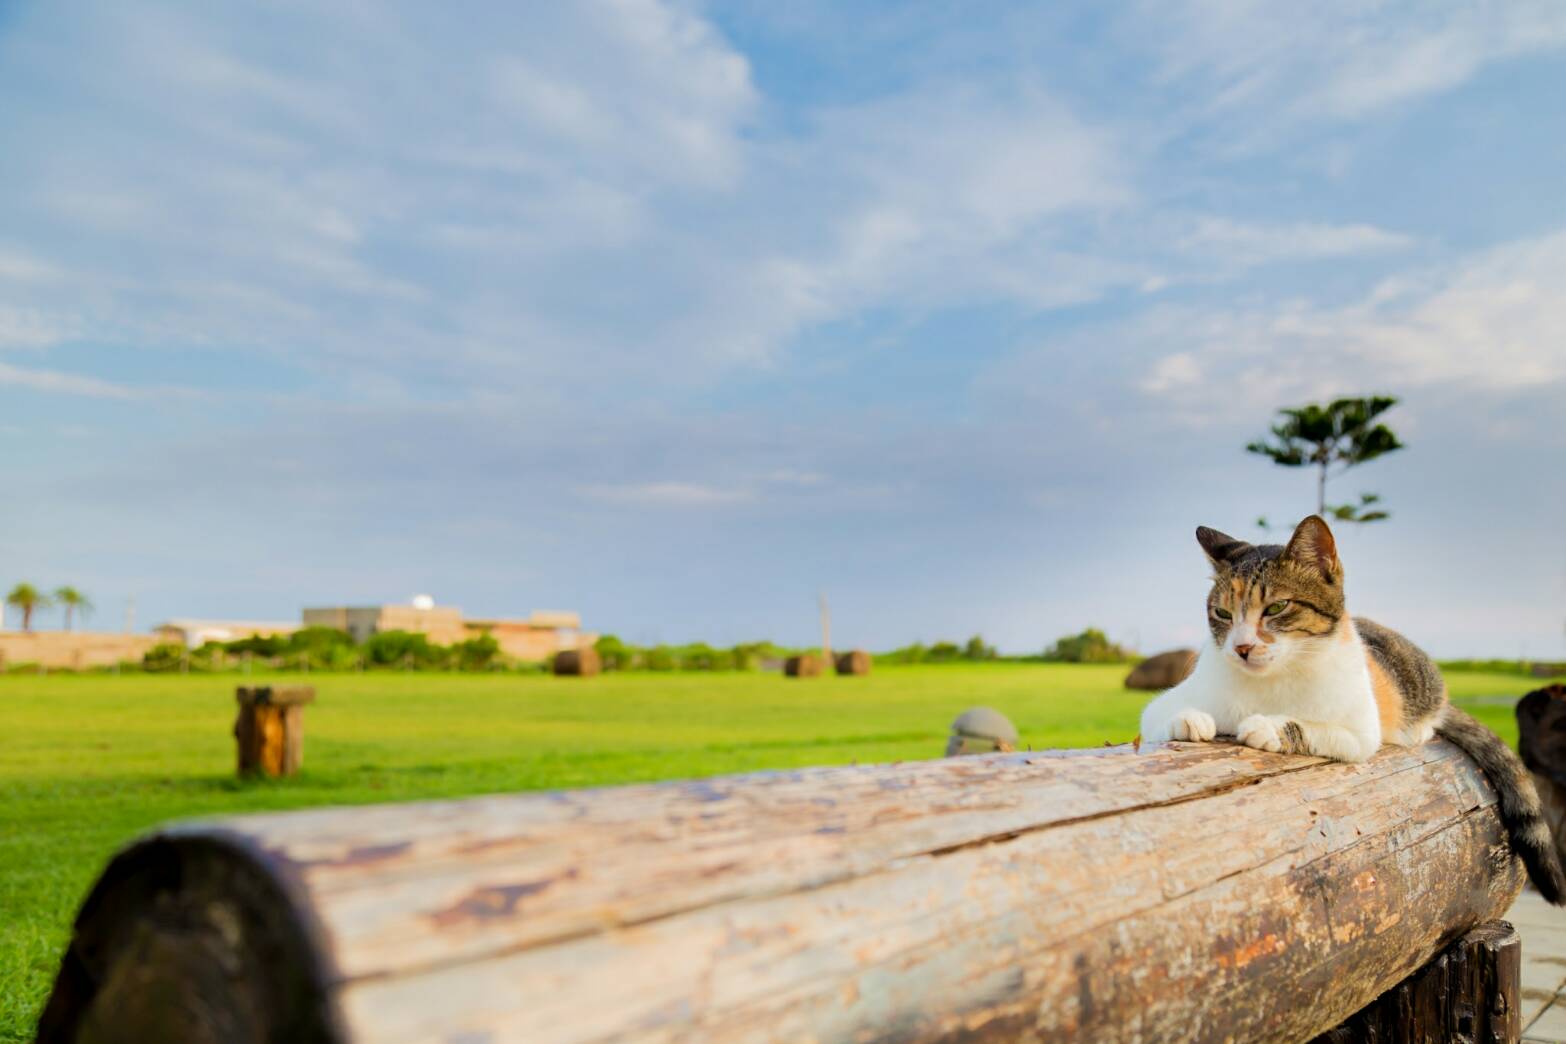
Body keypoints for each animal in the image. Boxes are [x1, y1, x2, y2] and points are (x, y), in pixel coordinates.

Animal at [1140, 513, 1566, 907]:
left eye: (1276, 607)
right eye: (1223, 615)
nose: (1241, 648)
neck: (1270, 679)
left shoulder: (1359, 732)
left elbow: (1311, 727)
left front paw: (1267, 727)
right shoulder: (1162, 703)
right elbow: (1161, 717)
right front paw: (1189, 720)